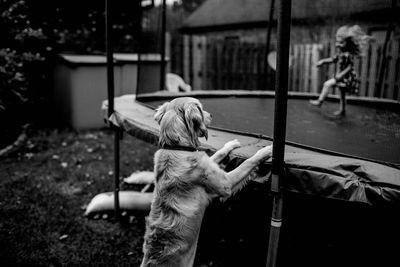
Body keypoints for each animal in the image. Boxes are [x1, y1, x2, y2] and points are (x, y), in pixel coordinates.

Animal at [140, 97, 272, 266]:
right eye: (201, 108)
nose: (212, 115)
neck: (177, 148)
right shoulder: (226, 184)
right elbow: (248, 162)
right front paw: (266, 150)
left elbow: (219, 153)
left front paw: (231, 144)